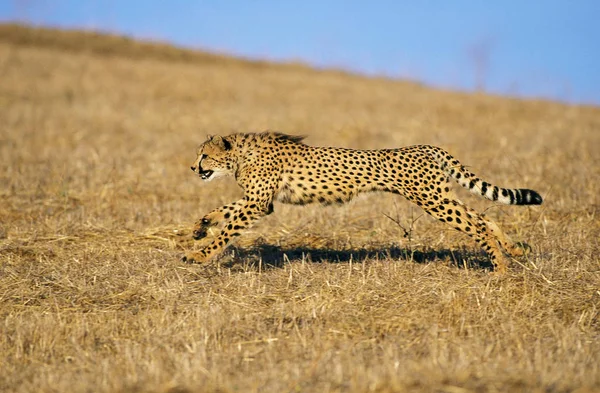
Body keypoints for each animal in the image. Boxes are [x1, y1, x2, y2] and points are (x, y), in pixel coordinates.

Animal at [184, 132, 544, 272]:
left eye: (204, 156)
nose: (192, 168)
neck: (240, 156)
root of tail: (424, 146)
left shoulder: (258, 204)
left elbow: (228, 230)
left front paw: (198, 254)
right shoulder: (261, 202)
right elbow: (222, 212)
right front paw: (200, 227)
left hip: (432, 199)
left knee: (478, 224)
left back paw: (500, 269)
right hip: (440, 196)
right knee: (484, 218)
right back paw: (513, 251)